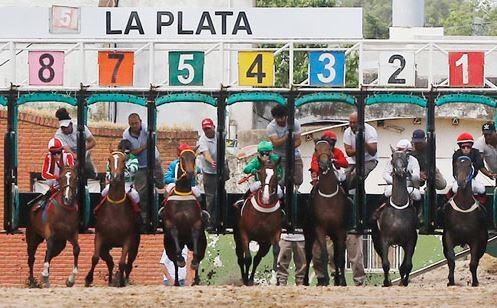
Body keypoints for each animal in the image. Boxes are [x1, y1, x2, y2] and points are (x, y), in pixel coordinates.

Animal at [85, 150, 140, 288]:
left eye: (123, 160)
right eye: (109, 160)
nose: (114, 177)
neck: (115, 207)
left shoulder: (128, 239)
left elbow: (122, 262)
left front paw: (121, 281)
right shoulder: (100, 236)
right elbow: (95, 257)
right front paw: (88, 279)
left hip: (135, 245)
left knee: (128, 264)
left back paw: (124, 280)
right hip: (106, 247)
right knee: (109, 261)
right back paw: (110, 281)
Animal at [160, 148, 204, 286]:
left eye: (194, 158)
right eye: (182, 158)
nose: (190, 173)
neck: (183, 192)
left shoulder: (196, 224)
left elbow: (196, 249)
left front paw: (193, 262)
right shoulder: (171, 224)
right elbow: (175, 239)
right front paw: (181, 260)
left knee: (199, 255)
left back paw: (196, 280)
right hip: (168, 246)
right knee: (173, 261)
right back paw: (175, 281)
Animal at [302, 140, 348, 286]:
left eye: (328, 149)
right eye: (316, 149)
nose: (323, 163)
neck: (328, 195)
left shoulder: (341, 229)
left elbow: (340, 257)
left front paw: (342, 281)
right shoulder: (320, 228)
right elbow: (323, 255)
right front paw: (326, 280)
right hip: (309, 232)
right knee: (308, 254)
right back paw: (305, 281)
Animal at [374, 149, 416, 286]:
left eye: (406, 157)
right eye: (392, 157)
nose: (399, 170)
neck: (398, 207)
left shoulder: (410, 240)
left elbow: (407, 264)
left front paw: (404, 281)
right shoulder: (384, 240)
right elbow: (386, 263)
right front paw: (386, 282)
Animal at [444, 156, 486, 286]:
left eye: (469, 166)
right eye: (456, 165)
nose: (461, 182)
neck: (463, 205)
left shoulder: (476, 238)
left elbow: (473, 262)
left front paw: (475, 282)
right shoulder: (448, 235)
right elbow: (451, 258)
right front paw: (450, 280)